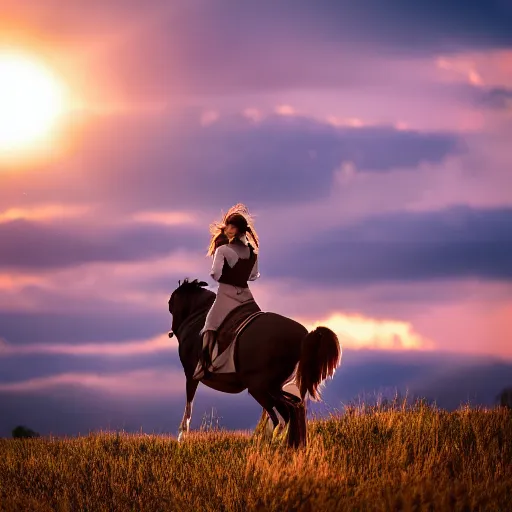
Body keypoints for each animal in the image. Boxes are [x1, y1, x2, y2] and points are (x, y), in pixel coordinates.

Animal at [170, 278, 342, 446]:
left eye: (172, 302)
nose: (174, 330)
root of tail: (305, 336)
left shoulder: (191, 374)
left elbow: (189, 404)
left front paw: (181, 436)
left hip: (259, 388)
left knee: (285, 413)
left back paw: (275, 443)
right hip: (272, 387)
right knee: (295, 407)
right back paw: (293, 444)